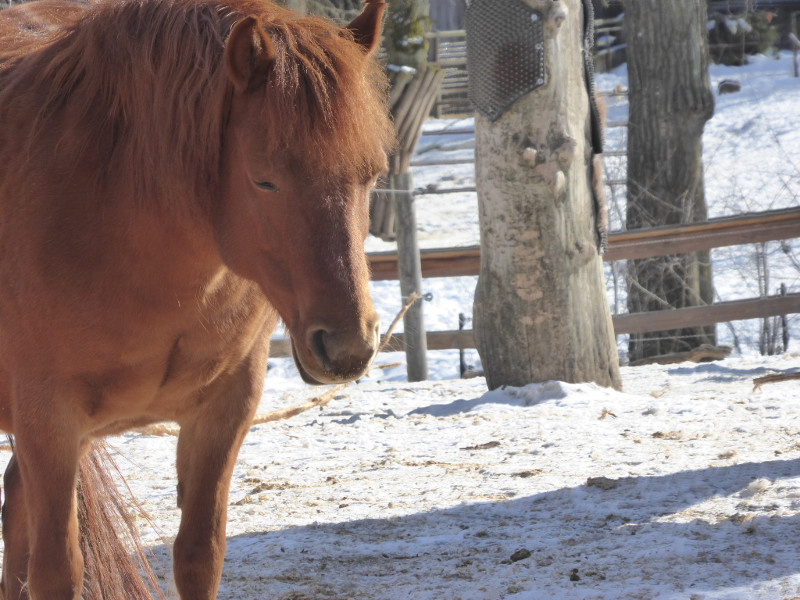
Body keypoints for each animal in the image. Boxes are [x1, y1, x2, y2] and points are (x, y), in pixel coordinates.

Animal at [0, 0, 393, 597]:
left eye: (372, 176)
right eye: (265, 181)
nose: (348, 347)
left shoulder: (224, 410)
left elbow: (198, 554)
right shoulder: (49, 421)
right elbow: (57, 570)